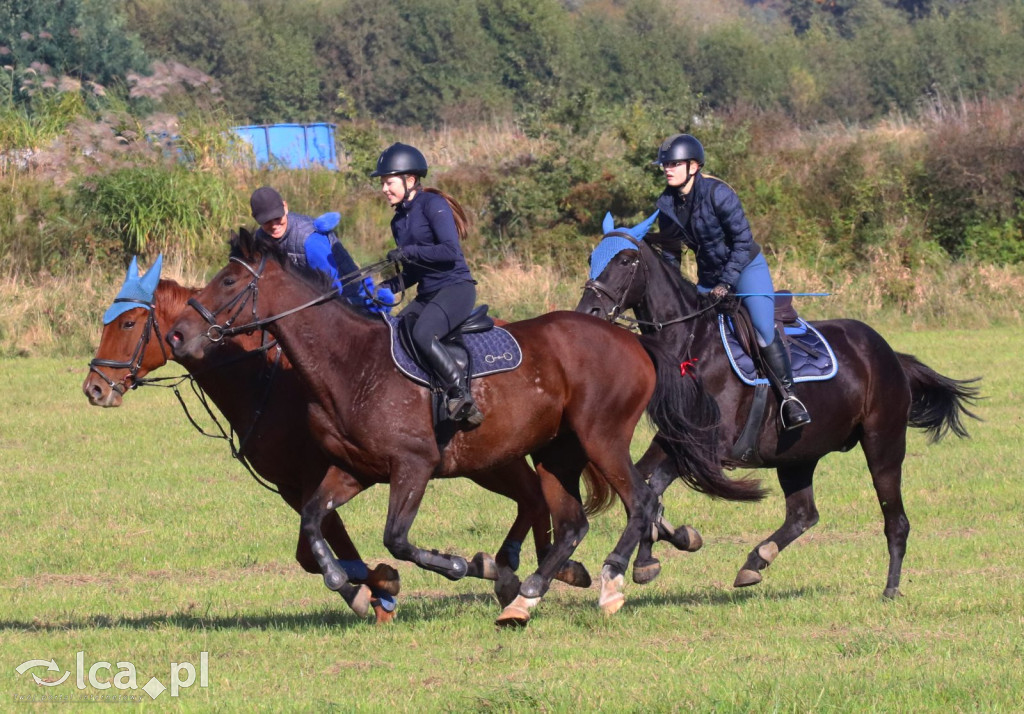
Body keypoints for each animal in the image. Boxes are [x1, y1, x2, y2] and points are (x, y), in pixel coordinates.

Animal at [82, 259, 585, 622]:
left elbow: (318, 545)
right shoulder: (300, 485)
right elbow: (313, 546)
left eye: (127, 324)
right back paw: (526, 571)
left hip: (489, 458)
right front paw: (372, 586)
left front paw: (376, 587)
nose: (94, 388)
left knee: (534, 496)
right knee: (533, 498)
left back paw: (529, 572)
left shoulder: (314, 475)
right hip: (488, 460)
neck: (262, 380)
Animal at [165, 228, 761, 622]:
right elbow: (314, 520)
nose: (178, 334)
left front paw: (463, 565)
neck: (349, 364)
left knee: (639, 502)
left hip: (602, 439)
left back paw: (610, 584)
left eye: (228, 281)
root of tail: (632, 340)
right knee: (571, 523)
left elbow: (398, 539)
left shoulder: (413, 467)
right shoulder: (353, 470)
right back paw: (526, 597)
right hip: (556, 453)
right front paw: (346, 579)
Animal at [581, 214, 978, 598]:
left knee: (895, 520)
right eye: (591, 258)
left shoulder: (711, 445)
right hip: (798, 453)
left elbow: (655, 486)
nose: (589, 310)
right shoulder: (674, 438)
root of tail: (891, 355)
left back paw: (891, 588)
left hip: (883, 444)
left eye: (625, 260)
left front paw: (649, 551)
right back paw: (756, 561)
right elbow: (644, 484)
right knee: (804, 514)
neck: (691, 342)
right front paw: (652, 554)